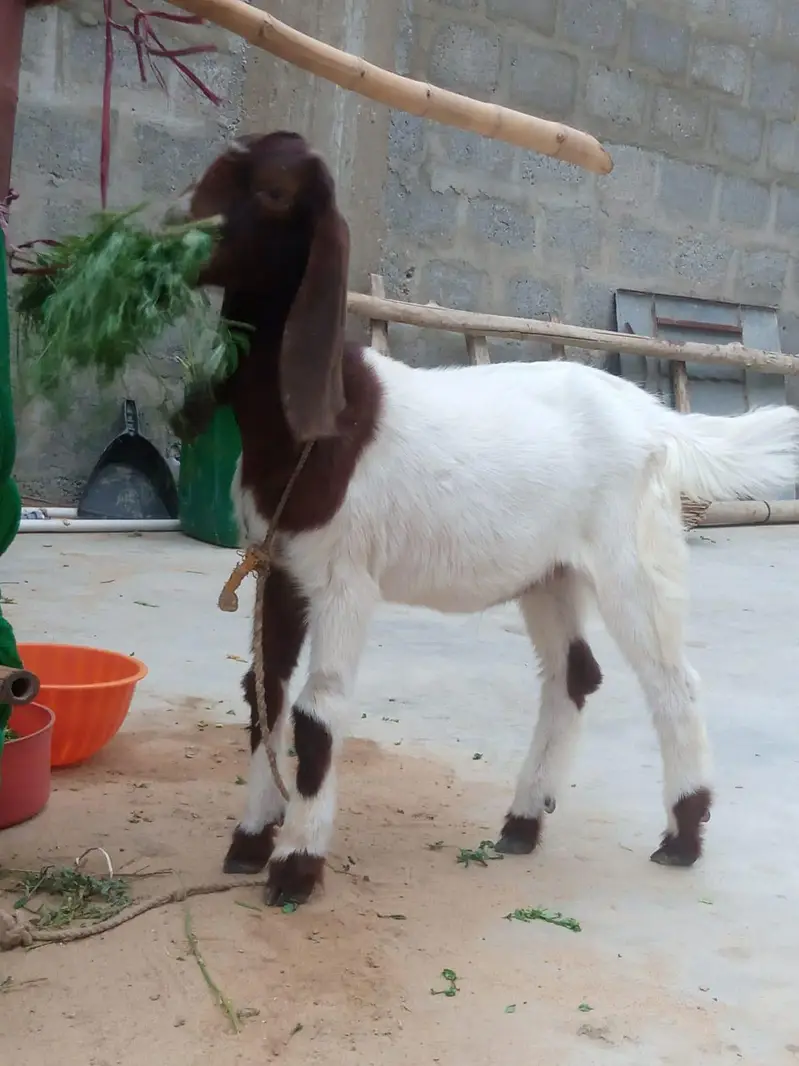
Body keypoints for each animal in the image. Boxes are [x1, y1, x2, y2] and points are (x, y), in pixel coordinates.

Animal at [169, 130, 799, 908]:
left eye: (275, 192)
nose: (172, 231)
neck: (325, 423)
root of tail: (656, 419)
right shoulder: (280, 567)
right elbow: (265, 697)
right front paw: (251, 840)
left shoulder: (347, 579)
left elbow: (318, 716)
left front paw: (296, 866)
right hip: (550, 572)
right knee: (574, 675)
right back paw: (524, 821)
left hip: (633, 557)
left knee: (671, 681)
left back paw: (681, 837)